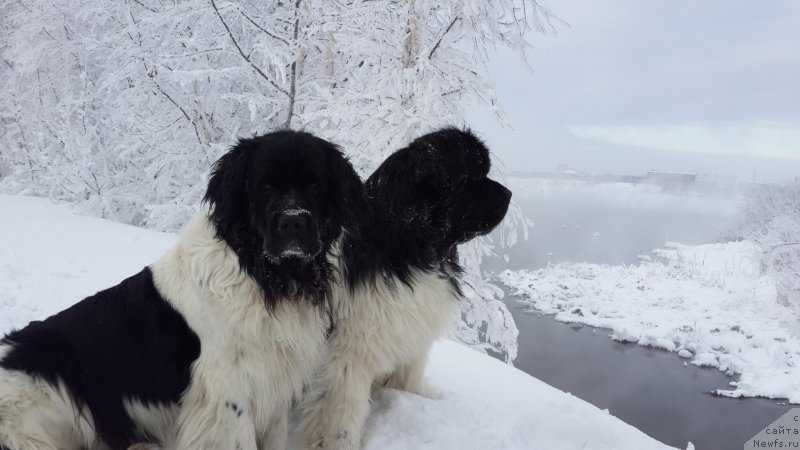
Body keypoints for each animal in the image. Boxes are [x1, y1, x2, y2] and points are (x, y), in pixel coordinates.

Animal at [0, 130, 362, 450]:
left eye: (315, 185)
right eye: (265, 187)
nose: (293, 221)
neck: (262, 276)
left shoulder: (273, 386)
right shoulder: (226, 396)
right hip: (54, 380)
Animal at [300, 127, 512, 450]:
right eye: (473, 175)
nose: (509, 194)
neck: (406, 247)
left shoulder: (406, 337)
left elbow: (407, 381)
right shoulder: (345, 357)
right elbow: (338, 421)